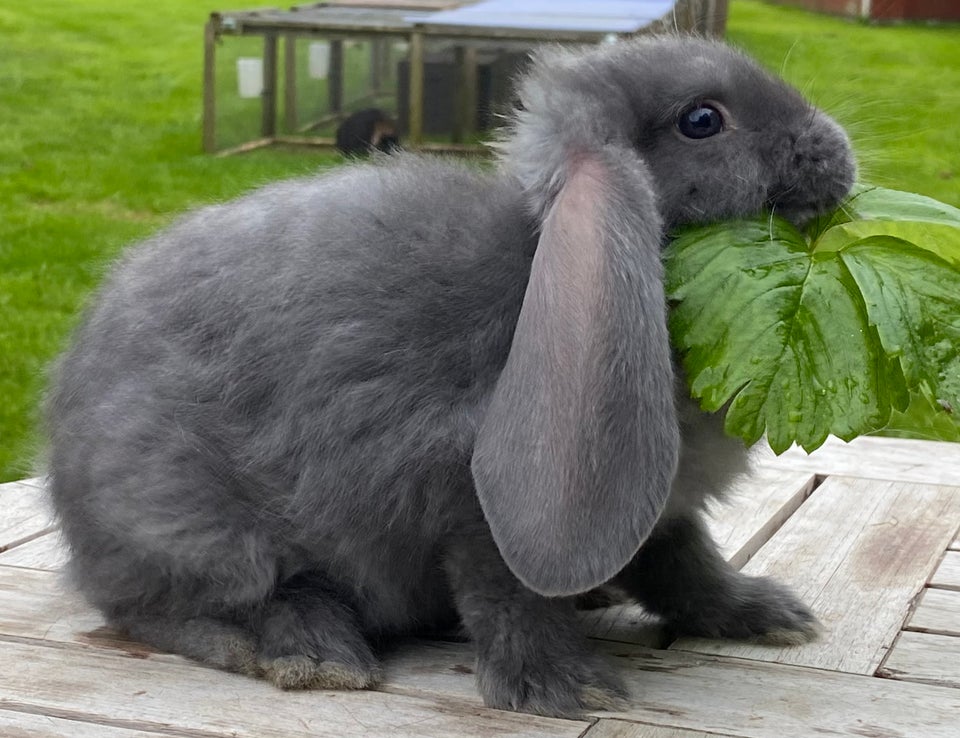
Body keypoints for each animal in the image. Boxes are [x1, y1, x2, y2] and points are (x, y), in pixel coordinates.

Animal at [45, 36, 856, 712]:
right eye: (702, 120)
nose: (835, 150)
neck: (536, 265)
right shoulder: (467, 494)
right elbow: (510, 598)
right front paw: (566, 688)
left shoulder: (657, 510)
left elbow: (688, 567)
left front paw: (769, 616)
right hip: (191, 524)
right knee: (163, 610)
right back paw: (311, 651)